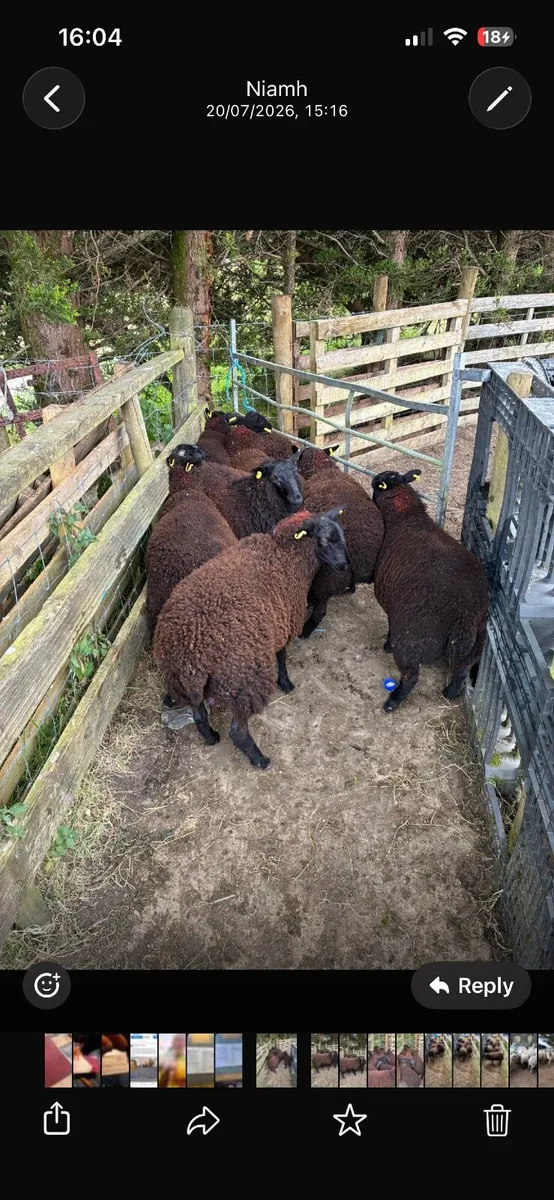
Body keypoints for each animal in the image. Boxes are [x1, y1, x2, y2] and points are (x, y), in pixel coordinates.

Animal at [152, 507, 349, 768]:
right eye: (326, 540)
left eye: (342, 536)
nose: (344, 565)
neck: (285, 555)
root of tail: (189, 653)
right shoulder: (282, 623)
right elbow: (282, 656)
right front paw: (286, 683)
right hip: (244, 680)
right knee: (237, 730)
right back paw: (259, 759)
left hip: (186, 681)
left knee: (200, 716)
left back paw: (211, 738)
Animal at [371, 469, 489, 712]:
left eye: (378, 485)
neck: (406, 517)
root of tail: (467, 613)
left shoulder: (391, 604)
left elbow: (389, 623)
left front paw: (386, 645)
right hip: (476, 643)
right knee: (461, 670)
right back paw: (450, 693)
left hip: (411, 640)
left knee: (411, 676)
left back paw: (392, 702)